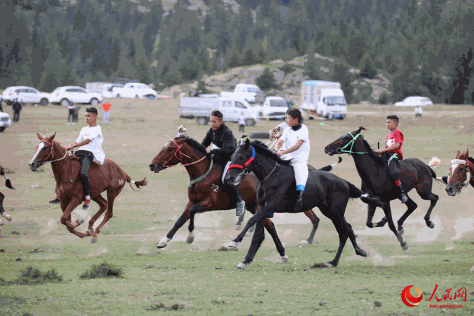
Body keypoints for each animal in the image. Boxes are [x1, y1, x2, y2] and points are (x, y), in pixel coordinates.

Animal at [224, 139, 384, 270]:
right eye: (231, 157)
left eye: (241, 157)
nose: (229, 178)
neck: (271, 176)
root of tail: (343, 181)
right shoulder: (261, 208)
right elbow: (258, 234)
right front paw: (245, 260)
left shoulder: (271, 206)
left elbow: (251, 221)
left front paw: (235, 241)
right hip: (329, 211)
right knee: (348, 229)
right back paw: (356, 252)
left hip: (336, 212)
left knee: (343, 232)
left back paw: (333, 262)